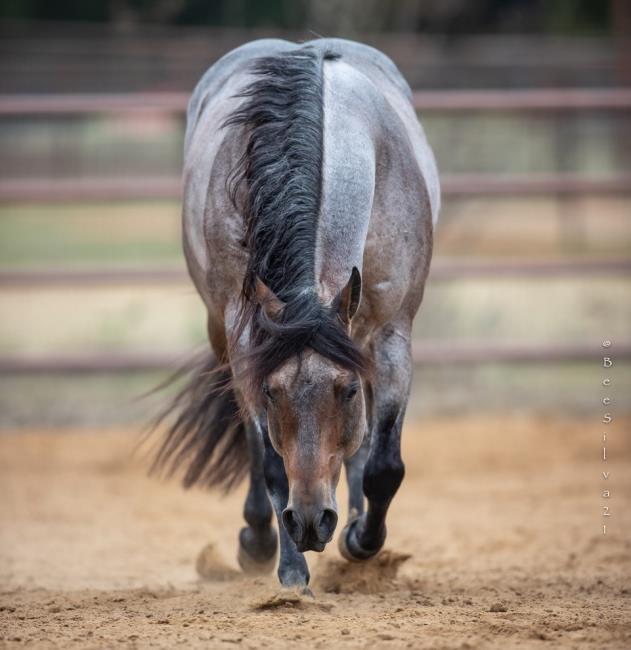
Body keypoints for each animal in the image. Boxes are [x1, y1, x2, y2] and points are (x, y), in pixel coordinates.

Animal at [152, 37, 440, 590]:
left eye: (346, 391)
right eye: (271, 392)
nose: (310, 523)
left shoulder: (391, 335)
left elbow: (384, 464)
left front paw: (361, 541)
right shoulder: (246, 343)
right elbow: (271, 463)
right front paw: (288, 567)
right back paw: (260, 539)